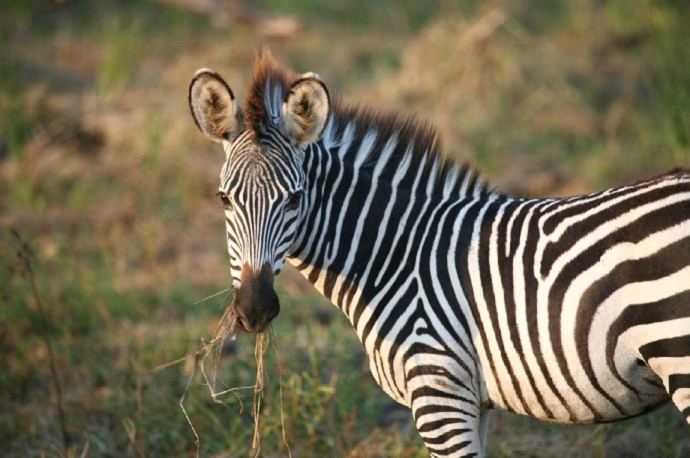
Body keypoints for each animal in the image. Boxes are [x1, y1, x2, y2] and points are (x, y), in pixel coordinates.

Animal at [187, 52, 688, 456]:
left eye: (294, 199)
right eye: (224, 200)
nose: (254, 310)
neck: (396, 254)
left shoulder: (439, 391)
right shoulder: (474, 400)